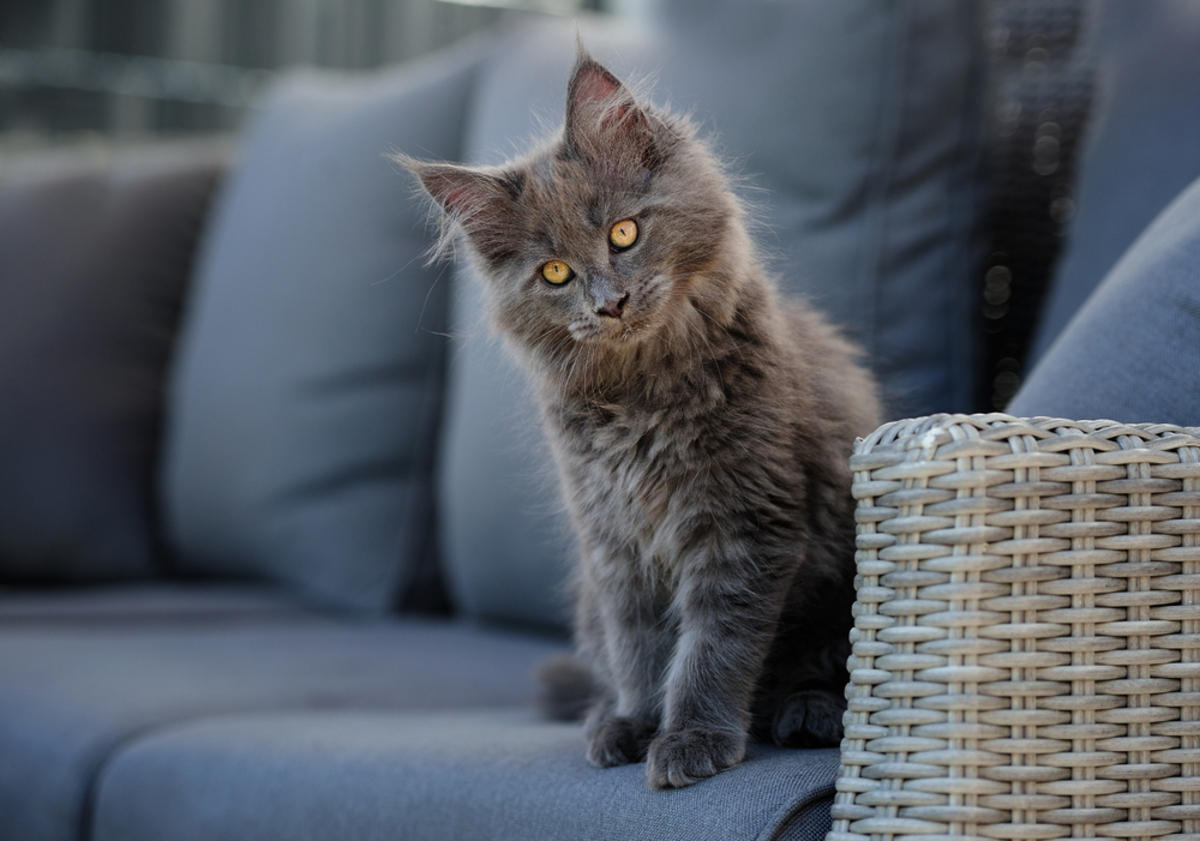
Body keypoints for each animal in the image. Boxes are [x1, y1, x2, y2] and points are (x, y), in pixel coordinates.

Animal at [403, 50, 883, 787]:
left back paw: (807, 712)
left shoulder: (746, 526)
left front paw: (690, 737)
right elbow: (641, 651)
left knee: (822, 666)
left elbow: (710, 649)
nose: (609, 303)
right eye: (555, 272)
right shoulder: (615, 545)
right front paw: (636, 722)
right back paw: (606, 715)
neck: (642, 396)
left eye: (623, 233)